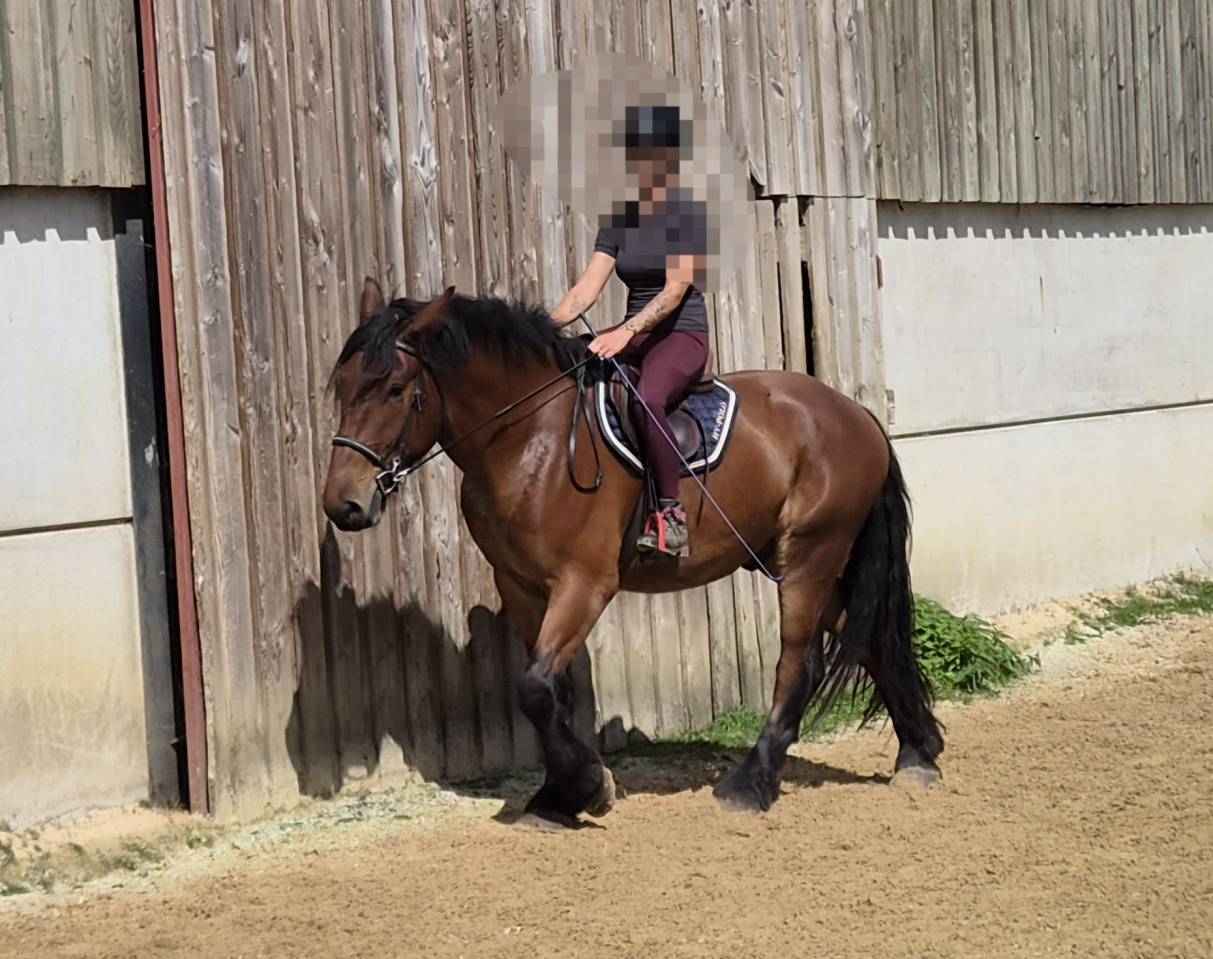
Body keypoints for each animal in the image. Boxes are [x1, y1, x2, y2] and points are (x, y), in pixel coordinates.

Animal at [321, 280, 944, 825]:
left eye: (395, 389)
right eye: (342, 385)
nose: (342, 505)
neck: (528, 439)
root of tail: (855, 414)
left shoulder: (585, 582)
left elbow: (535, 688)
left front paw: (588, 789)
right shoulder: (520, 585)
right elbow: (551, 690)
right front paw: (559, 796)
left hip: (811, 554)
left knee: (801, 659)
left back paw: (751, 784)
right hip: (782, 555)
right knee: (867, 638)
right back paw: (919, 754)